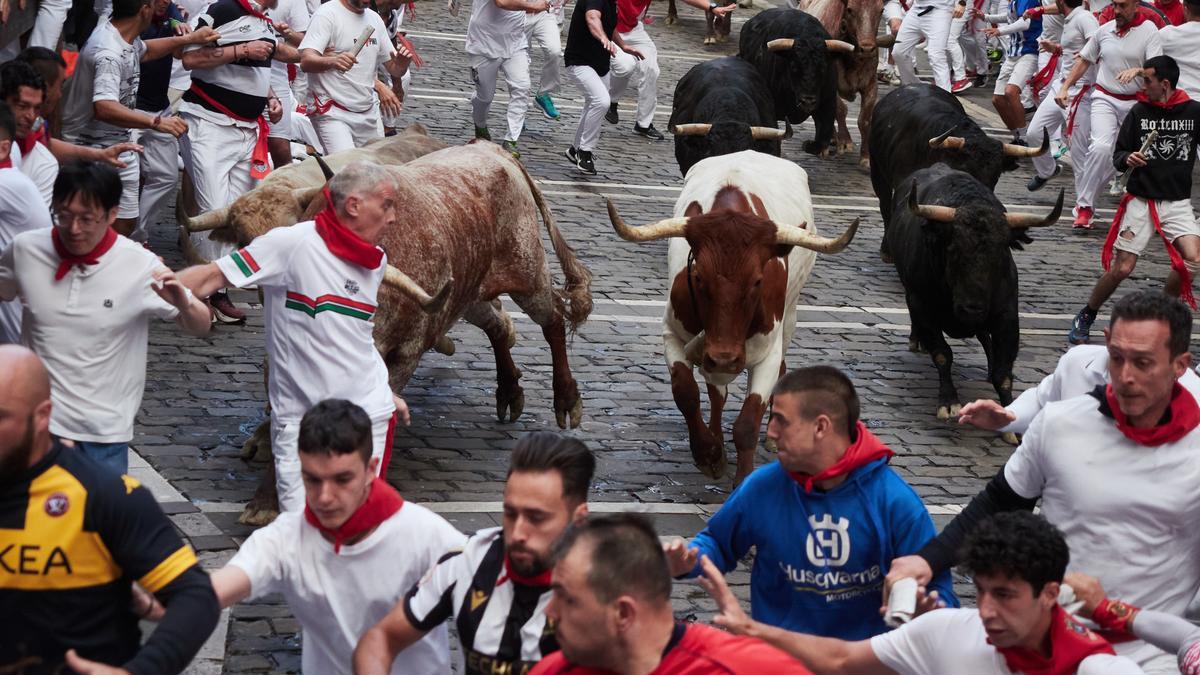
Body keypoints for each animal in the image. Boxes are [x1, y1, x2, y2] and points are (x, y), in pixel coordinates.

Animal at [609, 149, 854, 480]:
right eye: (698, 276)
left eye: (758, 281)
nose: (724, 357)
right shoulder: (673, 333)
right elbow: (686, 391)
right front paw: (708, 451)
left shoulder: (766, 353)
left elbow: (747, 423)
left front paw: (742, 479)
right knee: (717, 393)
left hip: (790, 315)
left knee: (781, 365)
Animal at [888, 164, 1065, 420]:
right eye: (953, 249)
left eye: (1001, 252)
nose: (971, 308)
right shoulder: (921, 305)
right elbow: (943, 354)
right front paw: (949, 402)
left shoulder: (1007, 315)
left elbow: (1003, 371)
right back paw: (915, 339)